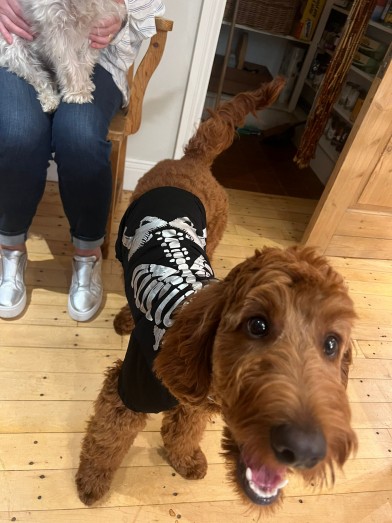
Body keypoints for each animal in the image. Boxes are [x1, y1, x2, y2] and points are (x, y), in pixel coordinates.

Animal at [75, 80, 356, 512]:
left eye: (331, 344)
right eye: (257, 325)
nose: (306, 448)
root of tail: (193, 160)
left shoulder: (193, 406)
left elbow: (184, 430)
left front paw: (184, 459)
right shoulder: (125, 392)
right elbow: (106, 439)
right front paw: (92, 481)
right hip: (125, 245)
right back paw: (125, 318)